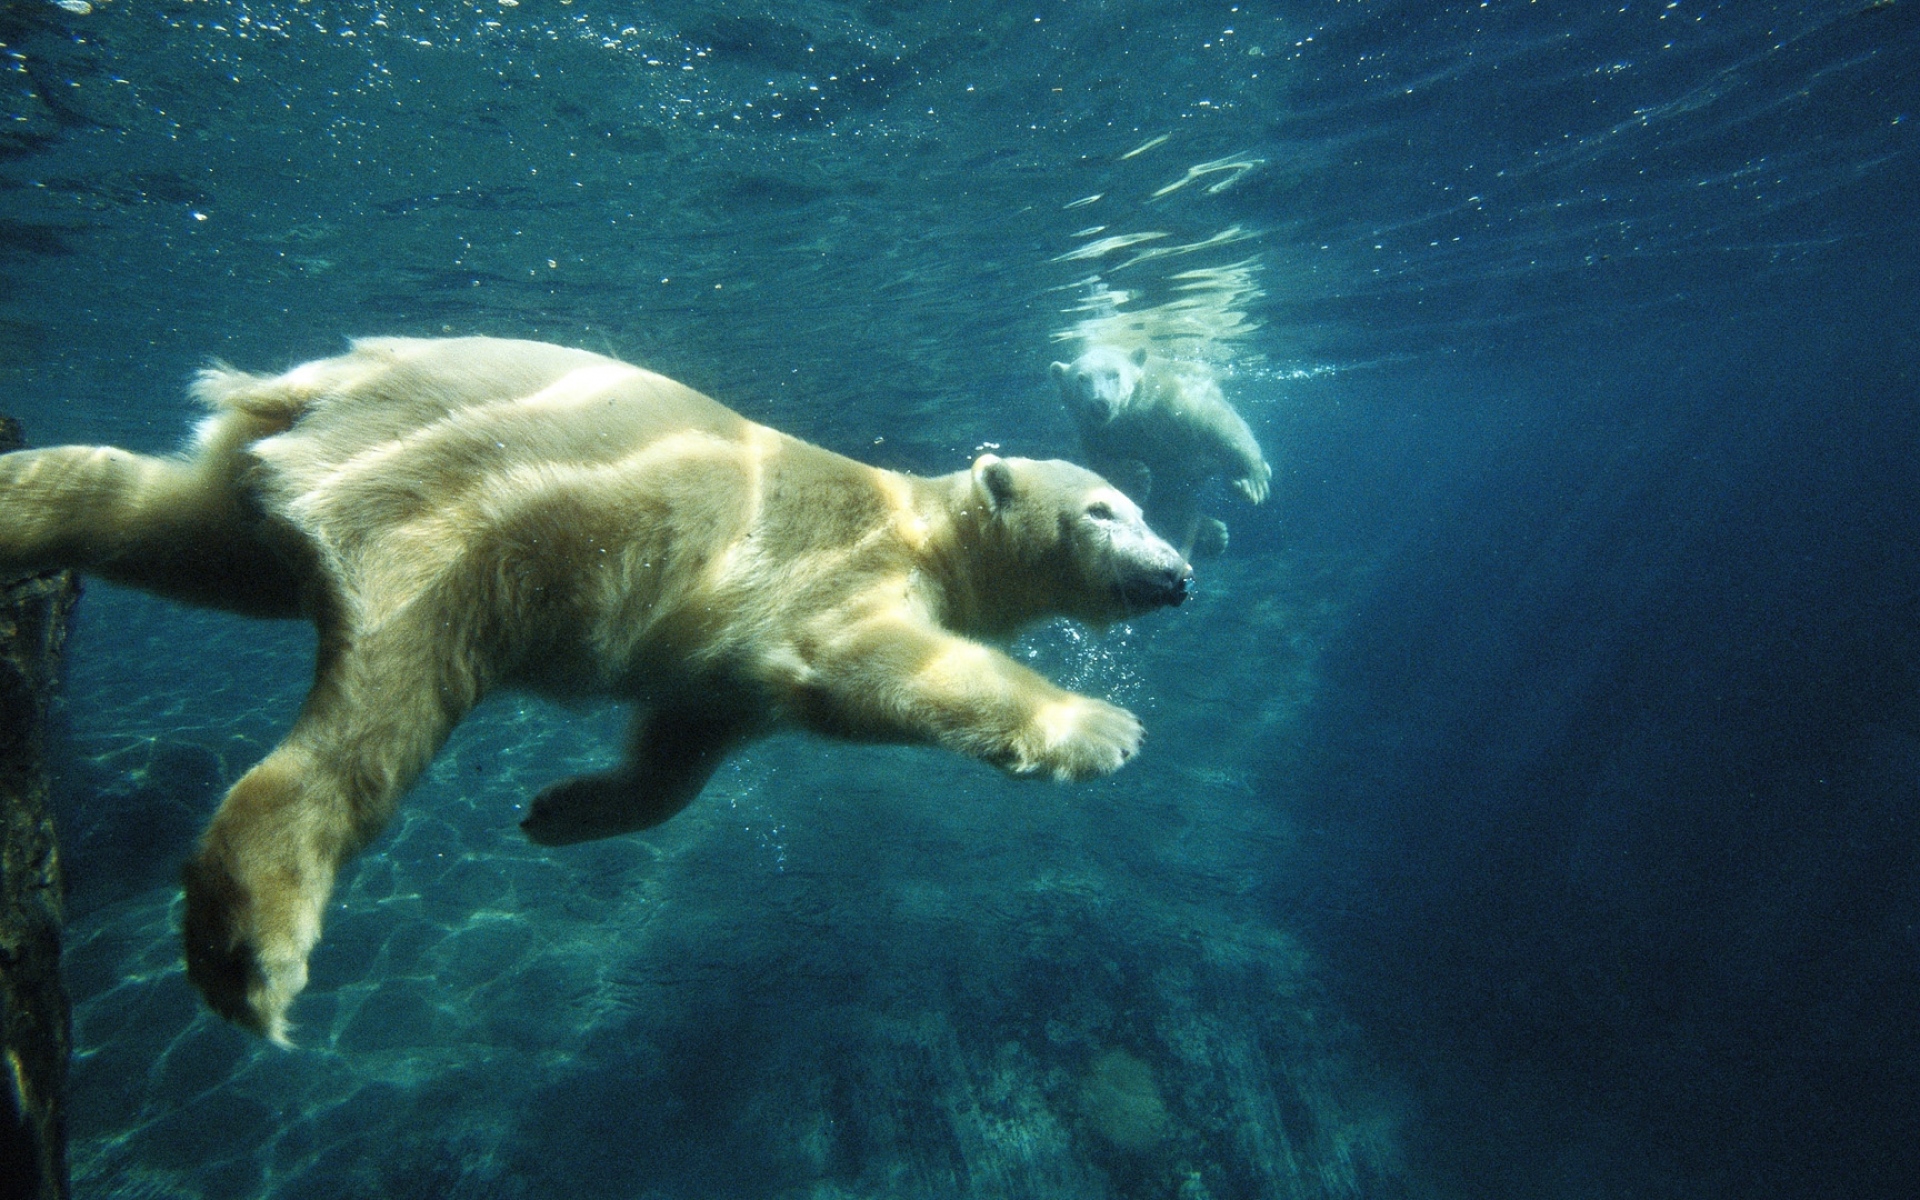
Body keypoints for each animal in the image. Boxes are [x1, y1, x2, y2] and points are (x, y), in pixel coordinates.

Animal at [0, 335, 1192, 1044]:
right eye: (1105, 511)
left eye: (1138, 508)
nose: (1180, 572)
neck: (921, 519)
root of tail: (318, 383)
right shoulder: (834, 571)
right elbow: (867, 666)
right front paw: (1100, 725)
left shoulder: (719, 664)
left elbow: (687, 741)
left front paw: (561, 809)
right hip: (457, 514)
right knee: (376, 713)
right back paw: (253, 943)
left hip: (297, 485)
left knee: (165, 521)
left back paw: (24, 500)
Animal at [1050, 344, 1272, 559]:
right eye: (1081, 378)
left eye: (1115, 374)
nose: (1100, 403)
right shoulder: (1097, 434)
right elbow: (1102, 468)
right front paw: (1138, 475)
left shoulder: (1172, 400)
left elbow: (1218, 422)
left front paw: (1251, 481)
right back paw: (1213, 534)